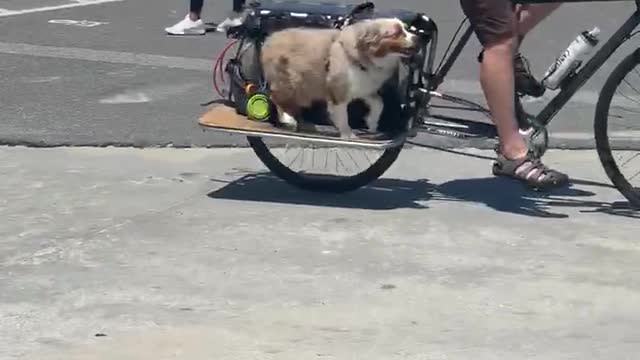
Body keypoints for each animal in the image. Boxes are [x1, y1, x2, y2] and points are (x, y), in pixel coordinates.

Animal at [262, 16, 420, 139]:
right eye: (396, 33)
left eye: (406, 29)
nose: (417, 38)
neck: (364, 56)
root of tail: (269, 39)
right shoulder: (338, 91)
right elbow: (343, 116)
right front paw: (348, 134)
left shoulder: (364, 87)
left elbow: (379, 103)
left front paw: (372, 122)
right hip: (291, 82)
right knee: (276, 98)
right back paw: (288, 119)